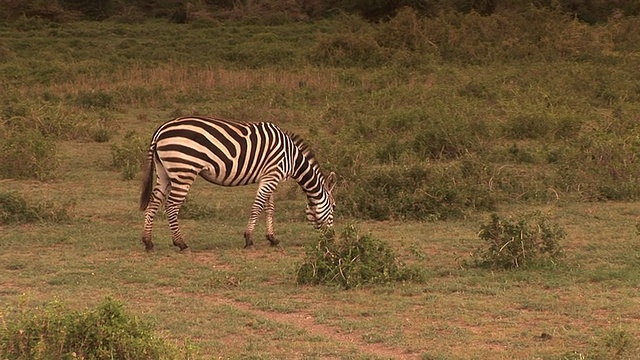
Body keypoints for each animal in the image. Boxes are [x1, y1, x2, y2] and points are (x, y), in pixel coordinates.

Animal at [138, 115, 338, 250]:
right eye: (335, 207)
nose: (331, 239)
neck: (292, 157)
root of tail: (161, 129)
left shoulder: (270, 176)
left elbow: (269, 207)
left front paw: (272, 238)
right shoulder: (272, 175)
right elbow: (258, 206)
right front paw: (249, 239)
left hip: (164, 171)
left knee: (154, 202)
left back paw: (148, 241)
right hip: (183, 170)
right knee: (171, 205)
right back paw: (181, 243)